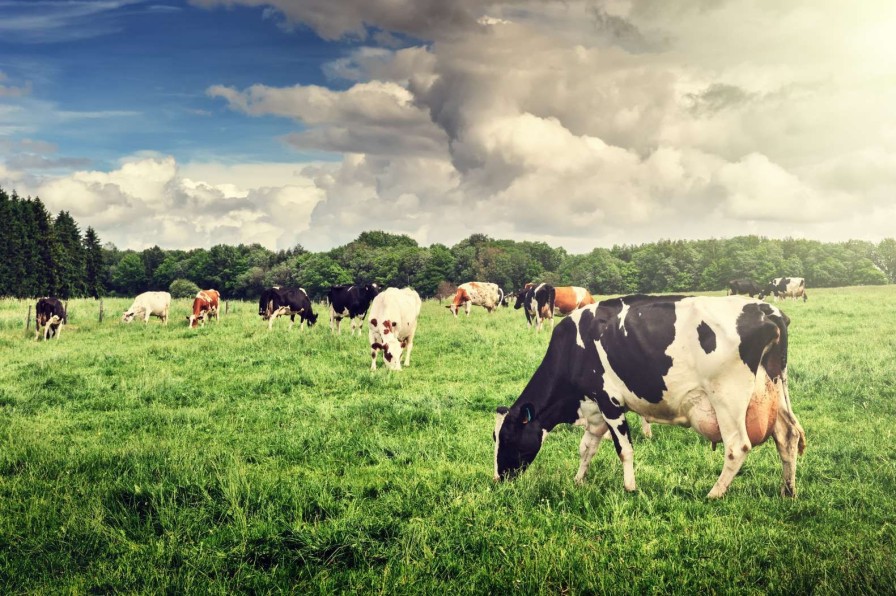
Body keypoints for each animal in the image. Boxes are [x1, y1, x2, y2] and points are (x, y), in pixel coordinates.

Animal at [494, 294, 808, 498]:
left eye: (507, 437)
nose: (499, 478)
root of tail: (767, 309)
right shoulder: (594, 407)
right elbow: (587, 447)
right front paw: (579, 480)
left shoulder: (610, 401)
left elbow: (624, 449)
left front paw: (630, 488)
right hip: (774, 387)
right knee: (788, 435)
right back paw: (788, 490)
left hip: (727, 398)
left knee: (737, 446)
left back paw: (714, 494)